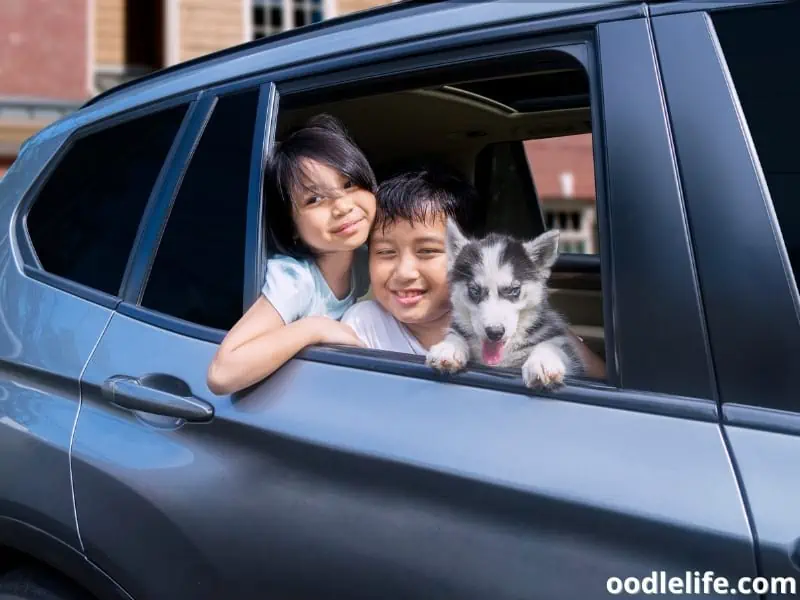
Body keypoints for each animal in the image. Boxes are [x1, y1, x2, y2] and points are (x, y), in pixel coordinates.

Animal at [424, 219, 588, 390]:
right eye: (474, 290)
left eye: (515, 290)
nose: (494, 332)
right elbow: (455, 334)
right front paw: (449, 347)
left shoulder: (565, 349)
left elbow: (552, 345)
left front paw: (543, 360)